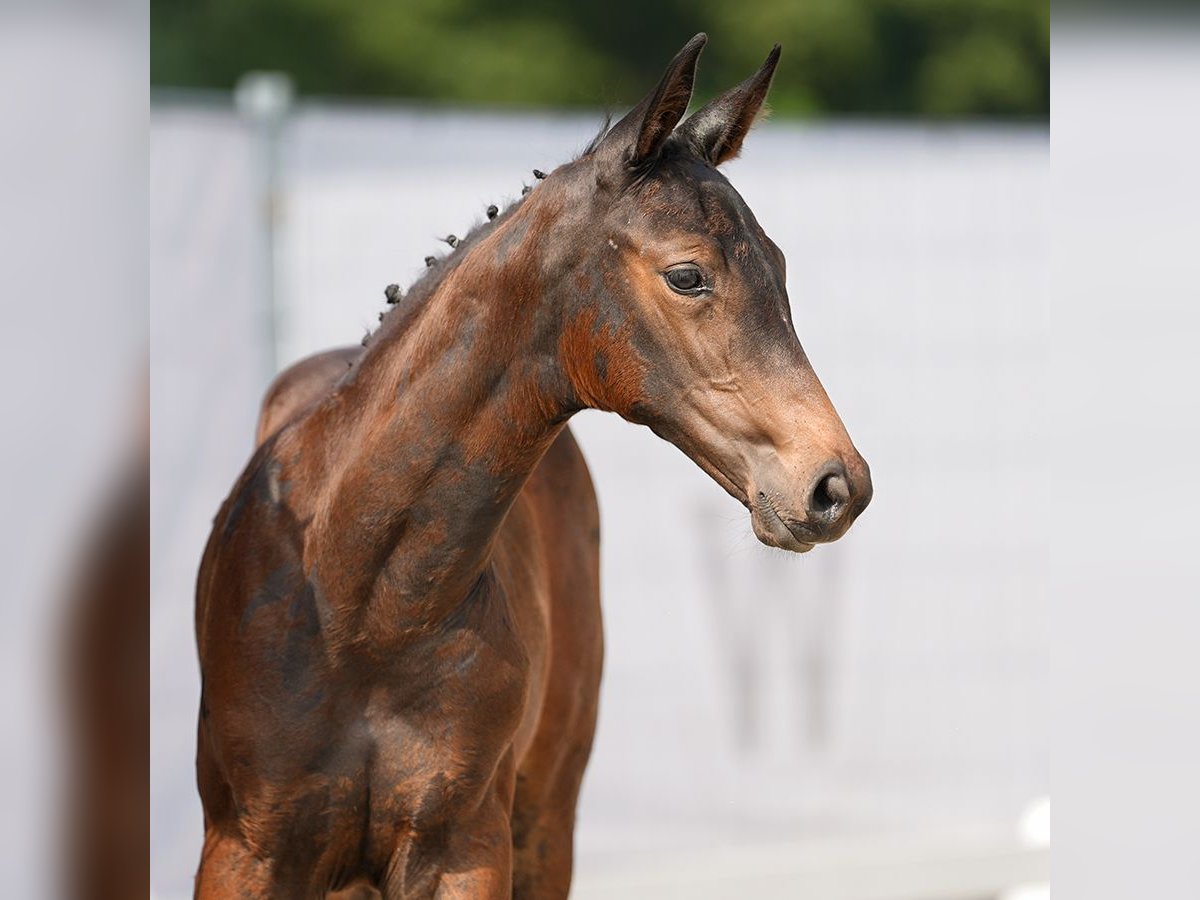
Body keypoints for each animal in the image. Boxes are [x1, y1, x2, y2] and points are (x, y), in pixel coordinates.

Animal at [196, 35, 873, 900]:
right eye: (688, 274)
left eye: (780, 268)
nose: (836, 485)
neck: (355, 601)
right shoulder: (243, 848)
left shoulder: (467, 848)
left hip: (548, 821)